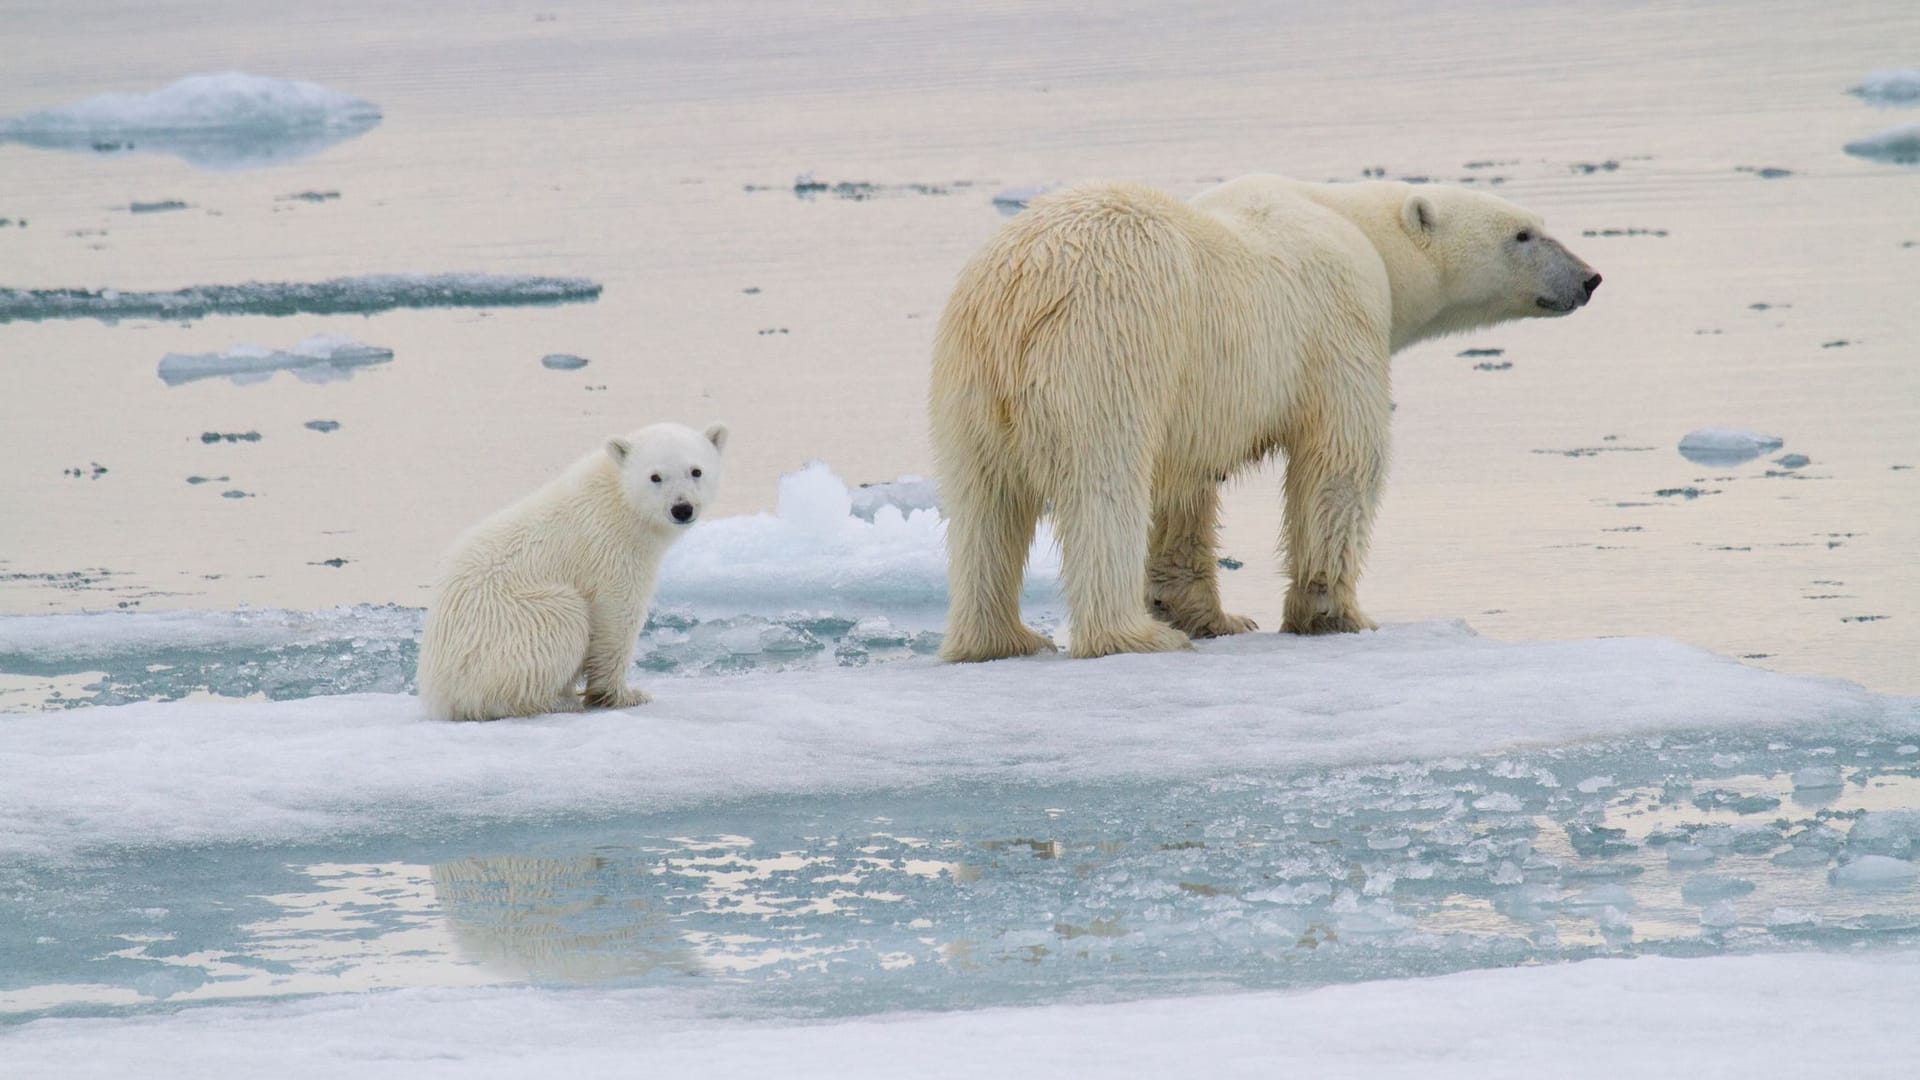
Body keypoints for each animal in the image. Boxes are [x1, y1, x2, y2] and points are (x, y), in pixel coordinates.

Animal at [936, 175, 1597, 661]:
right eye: (1523, 233)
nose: (1590, 277)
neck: (1358, 228)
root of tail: (1020, 291)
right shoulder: (1339, 323)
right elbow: (1340, 460)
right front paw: (1335, 613)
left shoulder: (1195, 400)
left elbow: (1184, 491)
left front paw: (1212, 616)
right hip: (1108, 347)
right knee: (1104, 487)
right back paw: (1131, 636)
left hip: (970, 379)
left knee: (983, 504)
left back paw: (1001, 639)